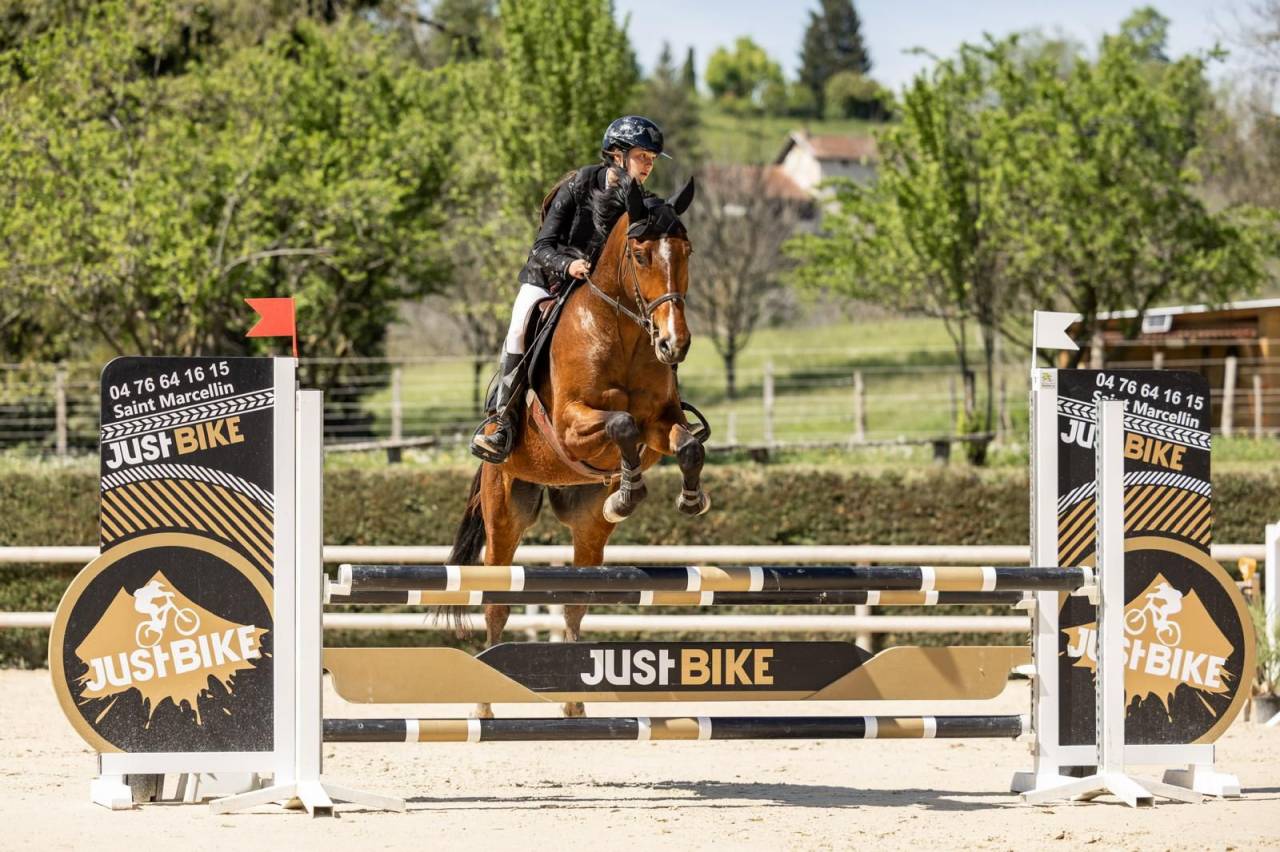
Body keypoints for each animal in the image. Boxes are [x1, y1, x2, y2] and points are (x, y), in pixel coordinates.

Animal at [446, 174, 709, 718]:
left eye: (687, 250)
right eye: (641, 254)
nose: (674, 344)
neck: (624, 331)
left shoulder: (662, 424)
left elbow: (684, 445)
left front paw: (685, 497)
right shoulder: (570, 424)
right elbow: (622, 425)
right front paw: (629, 491)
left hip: (587, 527)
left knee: (575, 599)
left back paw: (574, 707)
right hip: (505, 511)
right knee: (496, 601)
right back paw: (484, 707)